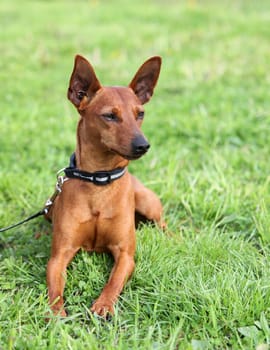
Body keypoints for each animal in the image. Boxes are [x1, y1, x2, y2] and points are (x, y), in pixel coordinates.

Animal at [46, 54, 163, 318]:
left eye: (140, 114)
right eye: (110, 115)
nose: (143, 145)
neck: (99, 181)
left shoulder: (125, 254)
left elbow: (114, 280)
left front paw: (104, 305)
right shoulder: (59, 255)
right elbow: (55, 288)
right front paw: (57, 313)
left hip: (147, 202)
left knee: (163, 224)